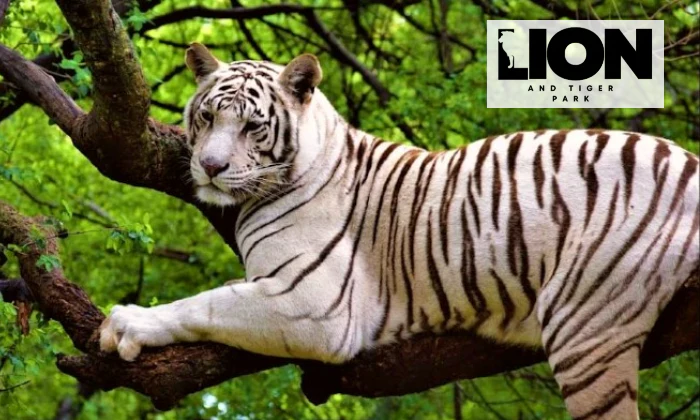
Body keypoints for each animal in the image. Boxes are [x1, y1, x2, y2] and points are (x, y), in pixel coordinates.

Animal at [99, 43, 700, 420]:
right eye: (206, 118)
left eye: (251, 126)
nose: (210, 167)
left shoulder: (315, 305)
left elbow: (208, 303)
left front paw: (127, 323)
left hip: (585, 325)